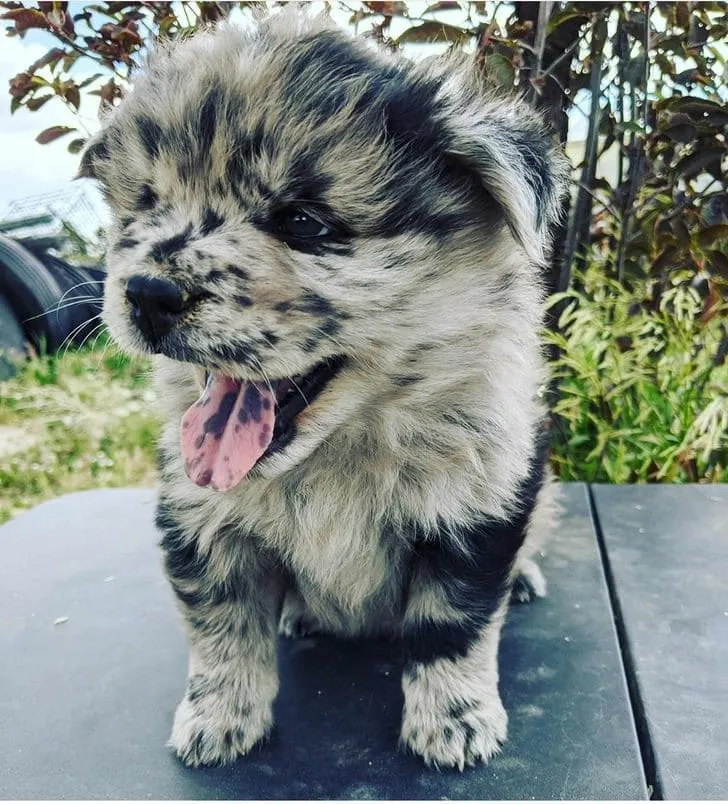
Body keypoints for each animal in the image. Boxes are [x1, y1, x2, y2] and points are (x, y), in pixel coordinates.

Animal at [80, 8, 568, 771]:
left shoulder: (479, 503)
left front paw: (454, 721)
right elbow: (220, 623)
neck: (337, 454)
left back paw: (523, 580)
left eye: (304, 221)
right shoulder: (196, 513)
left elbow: (453, 624)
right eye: (148, 204)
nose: (148, 294)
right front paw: (218, 717)